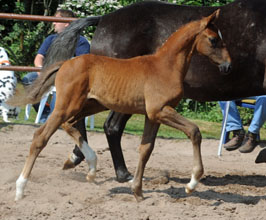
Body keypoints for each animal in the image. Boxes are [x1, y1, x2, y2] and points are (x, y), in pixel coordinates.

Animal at [15, 9, 231, 203]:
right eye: (213, 39)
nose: (228, 65)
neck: (165, 67)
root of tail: (66, 63)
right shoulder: (160, 110)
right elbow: (194, 131)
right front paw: (191, 184)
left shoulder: (153, 115)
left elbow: (146, 149)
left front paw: (137, 191)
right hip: (67, 106)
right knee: (41, 137)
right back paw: (20, 189)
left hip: (91, 105)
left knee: (69, 124)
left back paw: (91, 168)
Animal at [43, 0, 266, 182]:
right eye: (213, 40)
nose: (228, 66)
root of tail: (104, 19)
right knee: (109, 126)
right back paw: (120, 172)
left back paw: (82, 157)